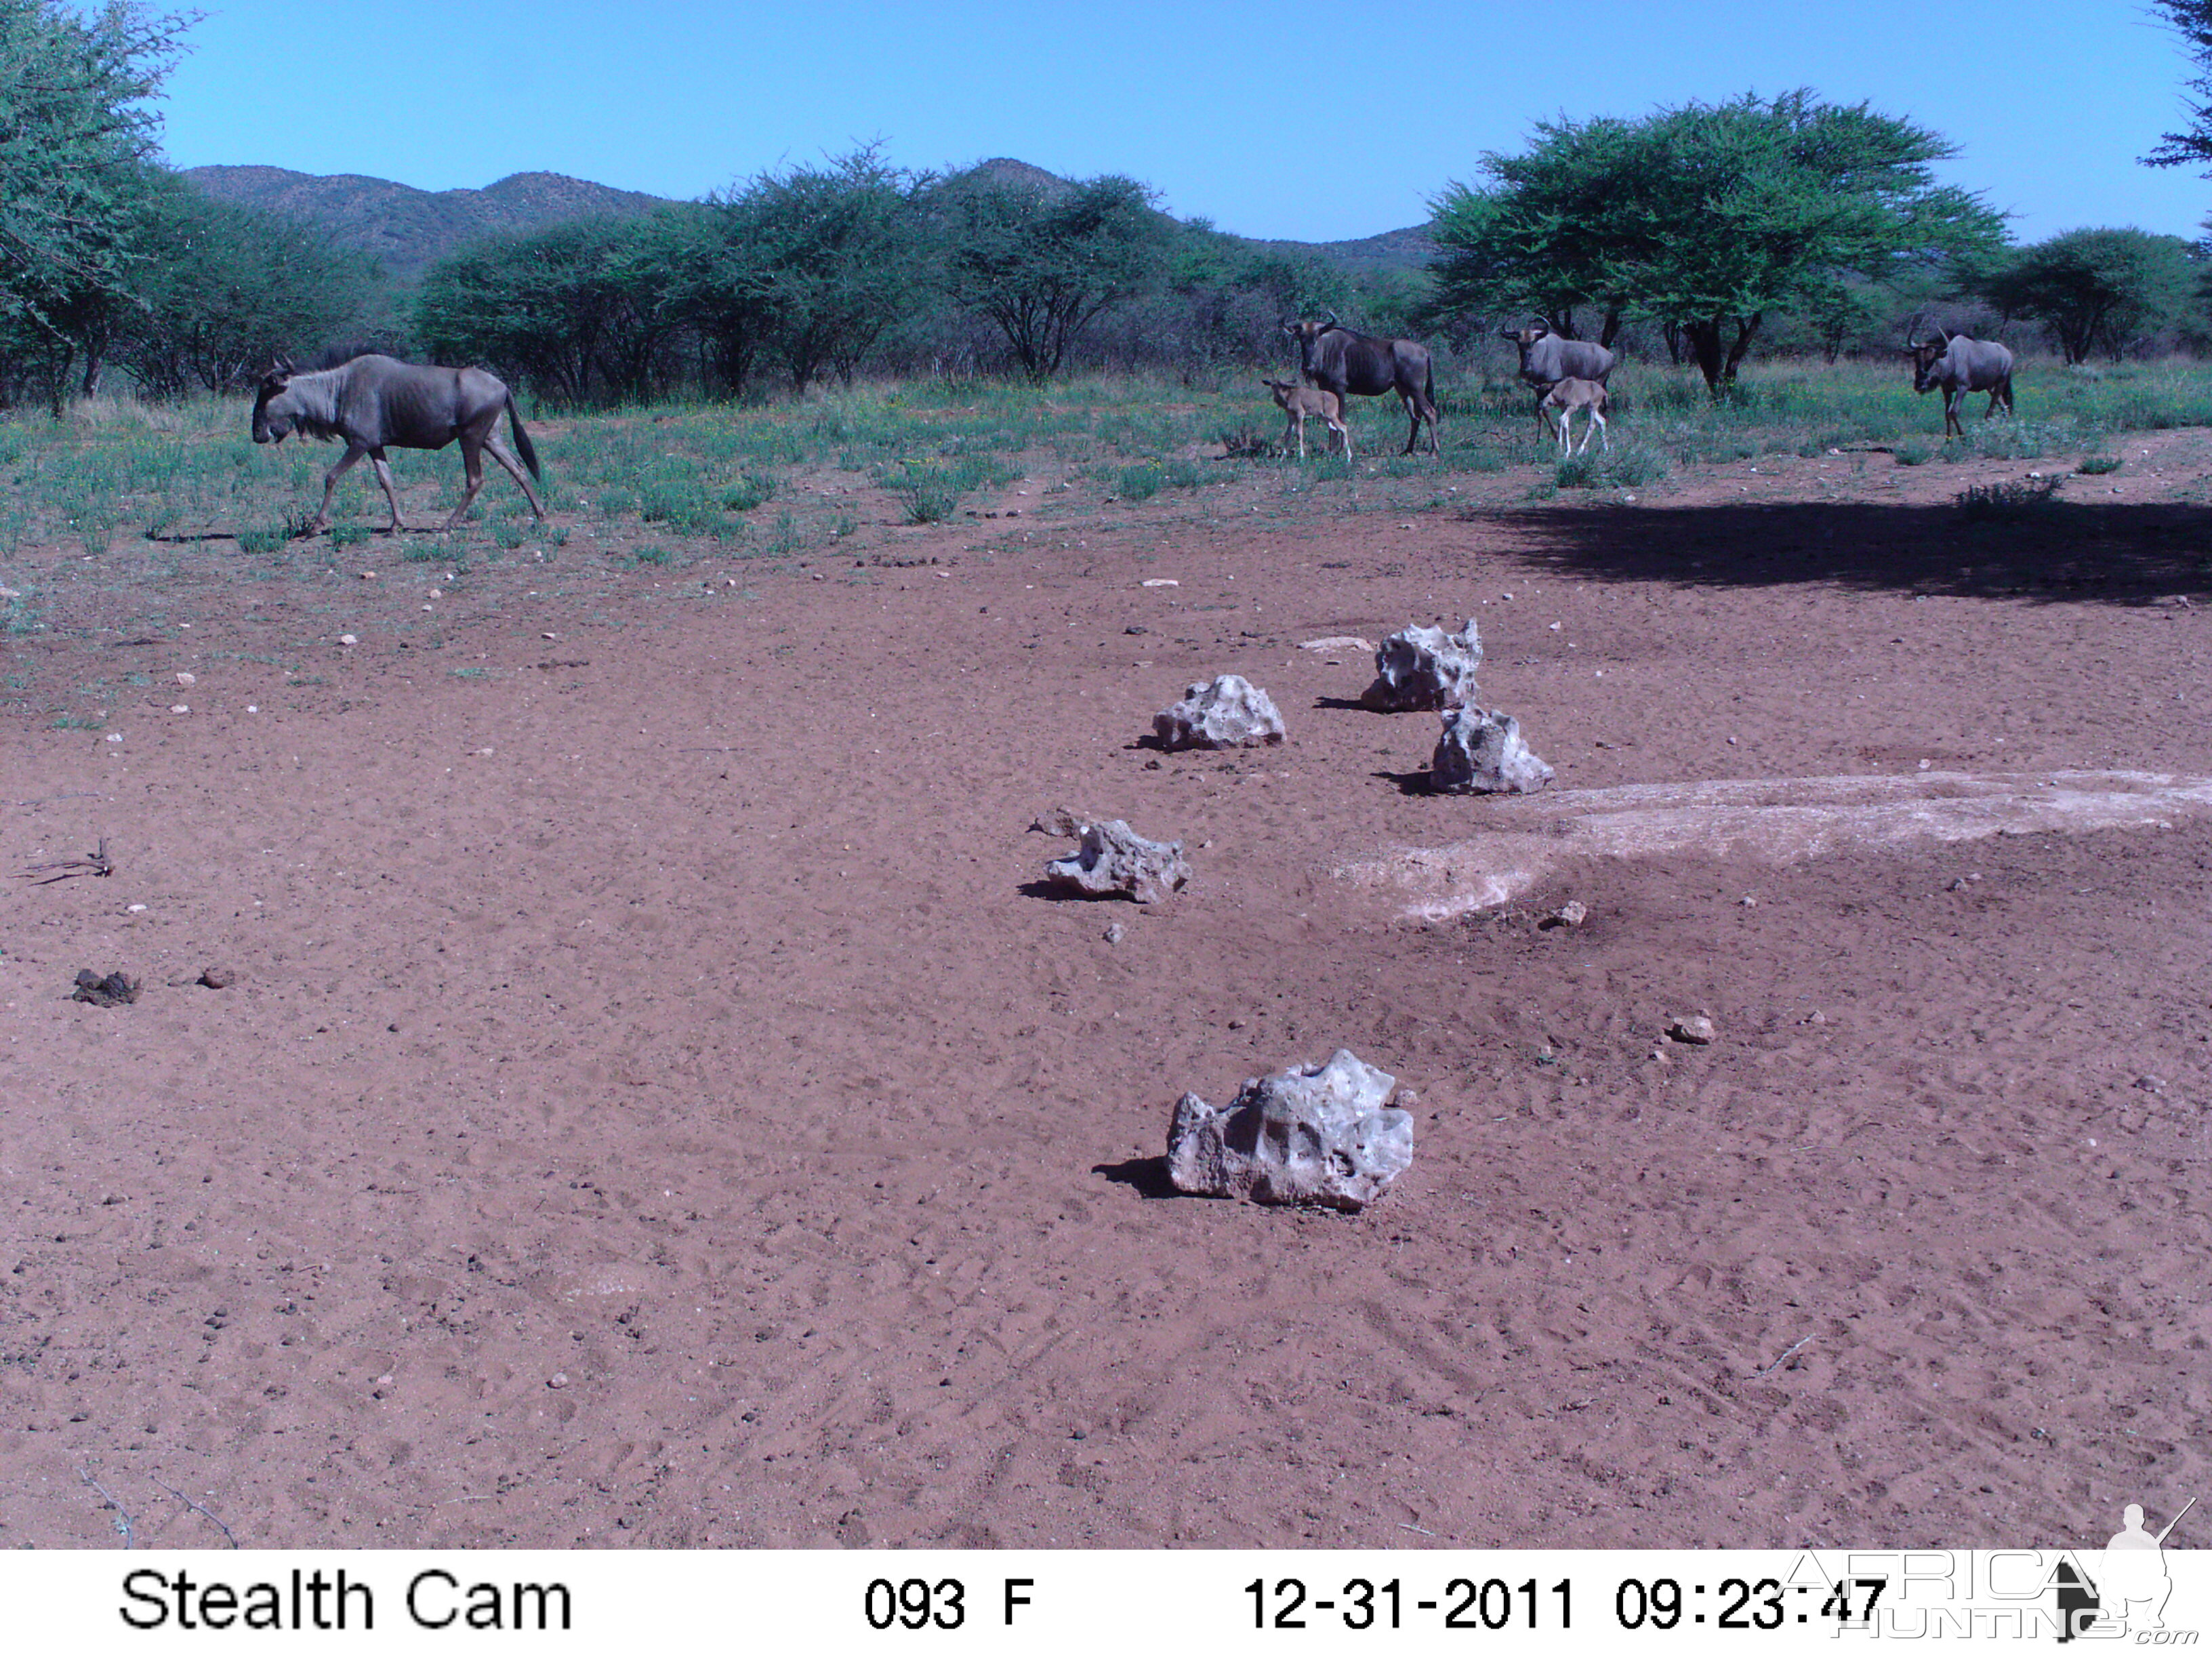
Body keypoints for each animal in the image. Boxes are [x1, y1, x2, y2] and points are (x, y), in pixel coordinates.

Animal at [249, 356, 541, 533]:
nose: (258, 435)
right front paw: (397, 524)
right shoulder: (375, 446)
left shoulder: (359, 443)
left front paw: (317, 525)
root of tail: (503, 386)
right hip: (491, 439)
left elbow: (331, 476)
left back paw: (448, 524)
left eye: (266, 395)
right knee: (518, 468)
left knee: (475, 479)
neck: (338, 389)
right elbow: (386, 481)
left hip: (470, 438)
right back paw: (540, 513)